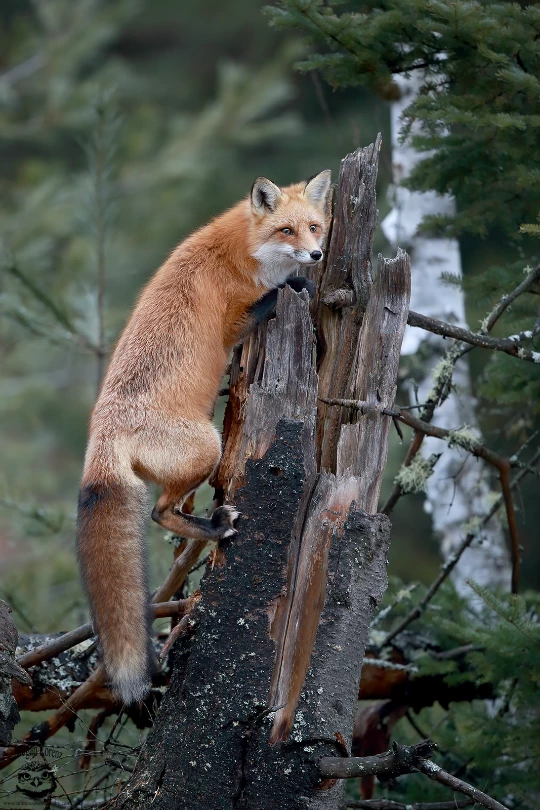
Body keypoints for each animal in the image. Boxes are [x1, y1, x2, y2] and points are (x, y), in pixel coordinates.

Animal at [76, 169, 334, 700]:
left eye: (315, 227)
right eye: (287, 231)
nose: (317, 256)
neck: (237, 252)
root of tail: (102, 438)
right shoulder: (233, 321)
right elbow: (271, 299)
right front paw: (295, 285)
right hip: (206, 448)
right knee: (159, 512)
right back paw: (214, 528)